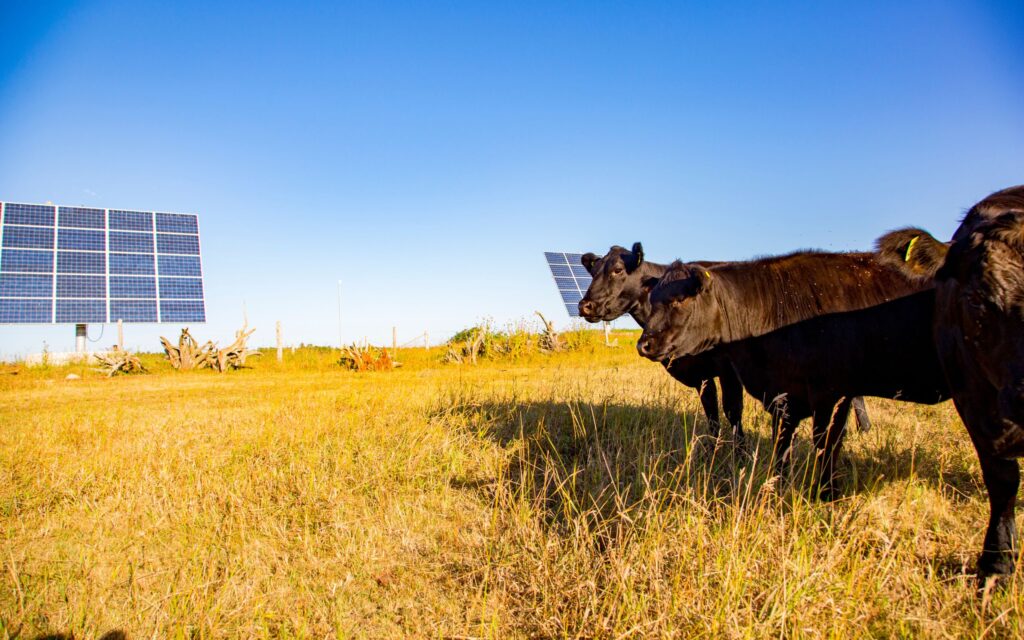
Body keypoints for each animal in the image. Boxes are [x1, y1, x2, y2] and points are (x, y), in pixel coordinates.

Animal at [635, 250, 942, 498]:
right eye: (653, 300)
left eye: (678, 300)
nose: (644, 344)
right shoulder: (782, 397)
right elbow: (781, 446)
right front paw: (776, 487)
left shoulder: (834, 394)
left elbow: (826, 443)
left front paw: (827, 494)